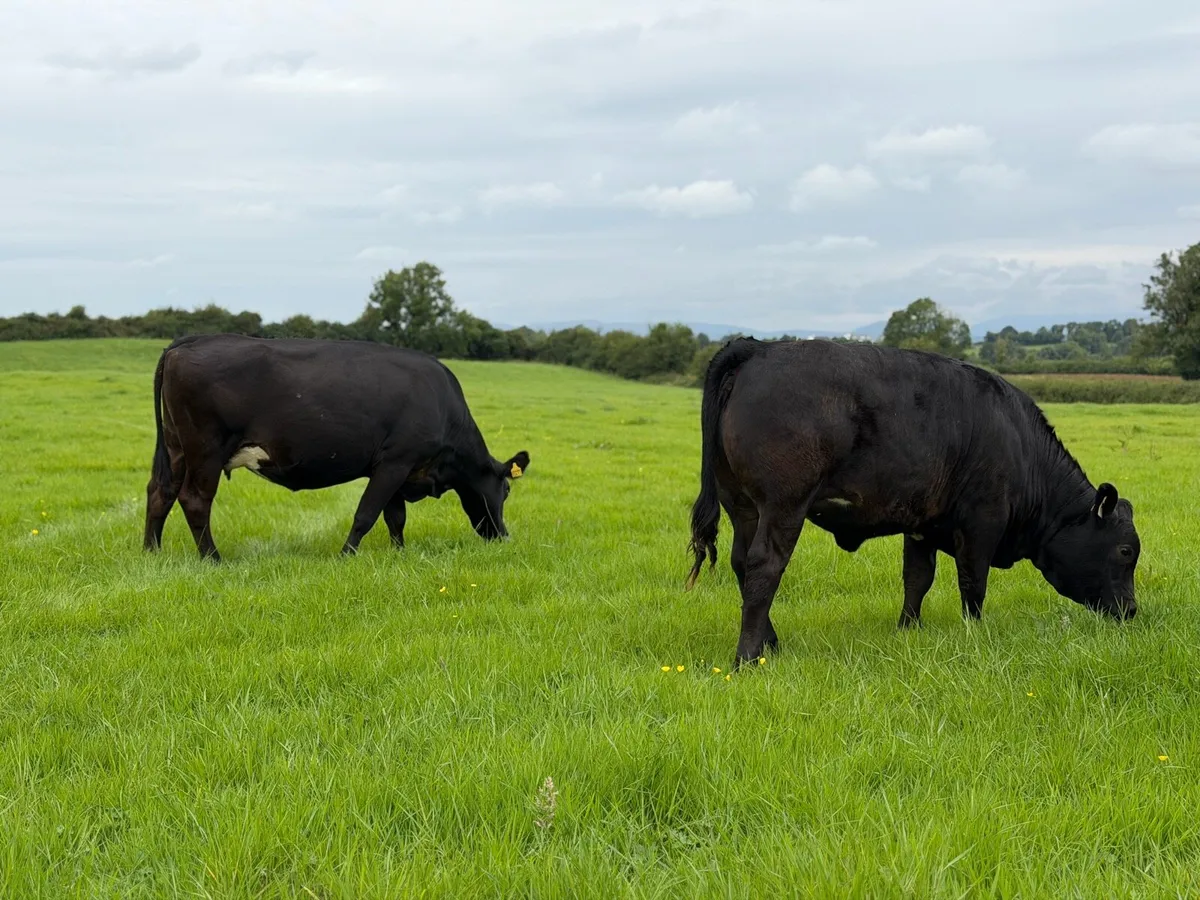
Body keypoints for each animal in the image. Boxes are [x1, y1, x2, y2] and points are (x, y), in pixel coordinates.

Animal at [143, 333, 530, 561]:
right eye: (506, 490)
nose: (503, 537)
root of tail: (184, 344)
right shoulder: (396, 462)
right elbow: (367, 514)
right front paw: (346, 555)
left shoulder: (393, 466)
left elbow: (395, 518)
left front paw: (399, 553)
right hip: (206, 449)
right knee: (195, 500)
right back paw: (213, 558)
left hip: (177, 448)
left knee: (160, 492)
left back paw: (151, 551)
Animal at [684, 337, 1140, 669]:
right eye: (1125, 551)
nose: (1132, 611)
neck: (1019, 444)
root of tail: (757, 347)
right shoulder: (982, 522)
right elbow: (973, 584)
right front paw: (974, 632)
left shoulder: (922, 525)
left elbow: (917, 579)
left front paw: (908, 629)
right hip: (783, 506)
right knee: (764, 567)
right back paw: (748, 656)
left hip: (742, 505)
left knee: (741, 563)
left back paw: (770, 642)